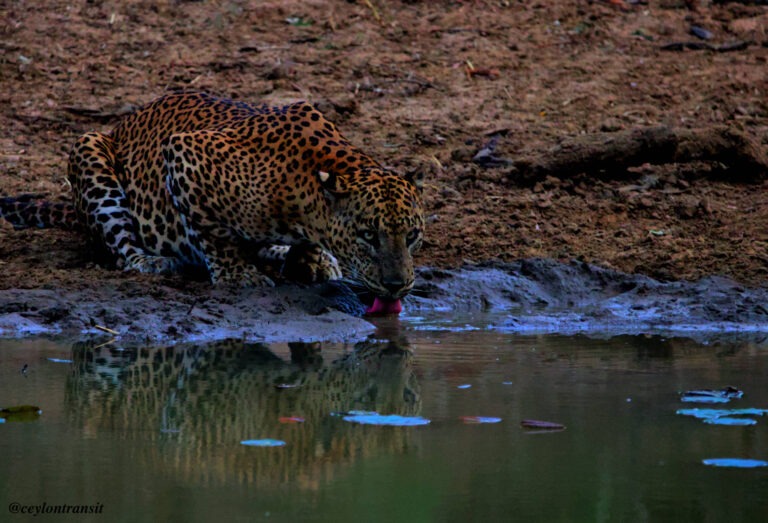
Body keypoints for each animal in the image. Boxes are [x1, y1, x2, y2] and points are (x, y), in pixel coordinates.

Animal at [0, 92, 424, 310]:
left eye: (413, 236)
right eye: (367, 236)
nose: (397, 286)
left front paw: (311, 260)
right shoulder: (185, 153)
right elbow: (212, 233)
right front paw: (238, 275)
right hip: (89, 147)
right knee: (122, 247)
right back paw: (154, 261)